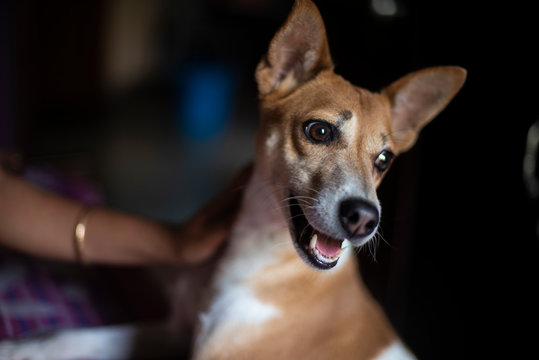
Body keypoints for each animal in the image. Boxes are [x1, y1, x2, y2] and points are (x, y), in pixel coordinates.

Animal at [0, 0, 466, 360]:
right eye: (319, 131)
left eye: (384, 160)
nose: (365, 219)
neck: (260, 258)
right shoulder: (176, 330)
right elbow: (62, 338)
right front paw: (19, 346)